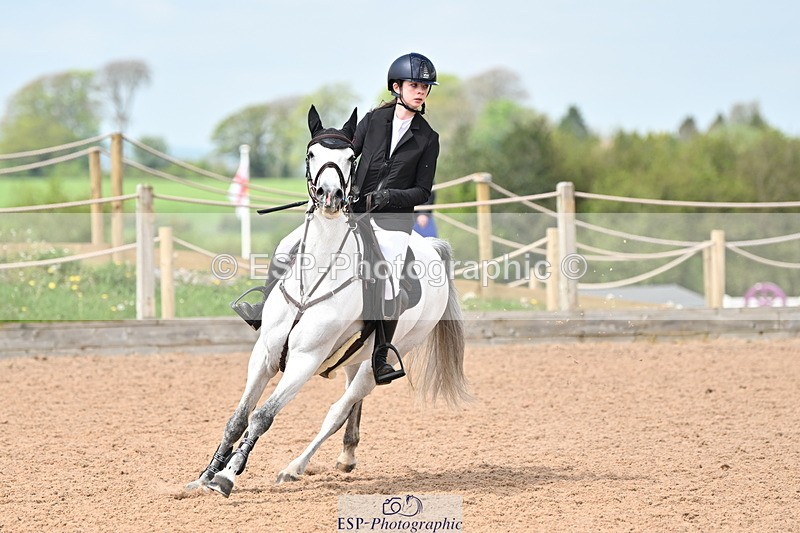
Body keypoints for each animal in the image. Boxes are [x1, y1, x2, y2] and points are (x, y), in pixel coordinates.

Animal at [186, 105, 470, 497]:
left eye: (350, 157)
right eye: (311, 154)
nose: (331, 196)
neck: (319, 269)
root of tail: (431, 248)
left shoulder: (305, 359)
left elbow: (262, 416)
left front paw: (228, 476)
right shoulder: (265, 352)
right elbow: (238, 417)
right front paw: (206, 474)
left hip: (378, 361)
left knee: (337, 411)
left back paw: (294, 468)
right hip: (354, 356)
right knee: (350, 405)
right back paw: (346, 456)